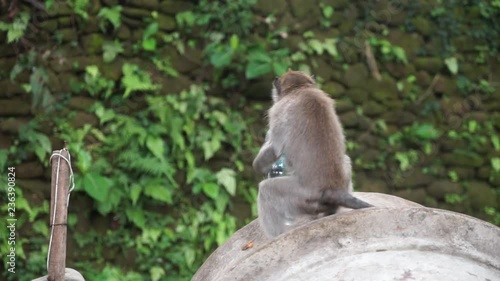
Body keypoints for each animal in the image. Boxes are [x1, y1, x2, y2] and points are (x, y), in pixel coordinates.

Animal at [252, 70, 374, 236]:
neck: (300, 89)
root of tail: (333, 190)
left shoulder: (277, 111)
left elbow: (274, 148)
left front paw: (258, 165)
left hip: (302, 196)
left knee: (266, 190)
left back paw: (277, 236)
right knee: (346, 159)